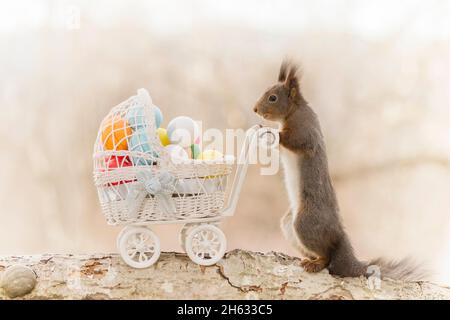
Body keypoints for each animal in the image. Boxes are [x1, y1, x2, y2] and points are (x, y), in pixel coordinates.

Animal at [255, 60, 424, 280]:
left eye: (273, 98)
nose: (255, 109)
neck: (294, 111)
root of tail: (340, 238)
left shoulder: (306, 131)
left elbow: (296, 141)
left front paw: (269, 131)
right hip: (289, 223)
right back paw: (309, 259)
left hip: (305, 222)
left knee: (327, 256)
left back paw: (316, 263)